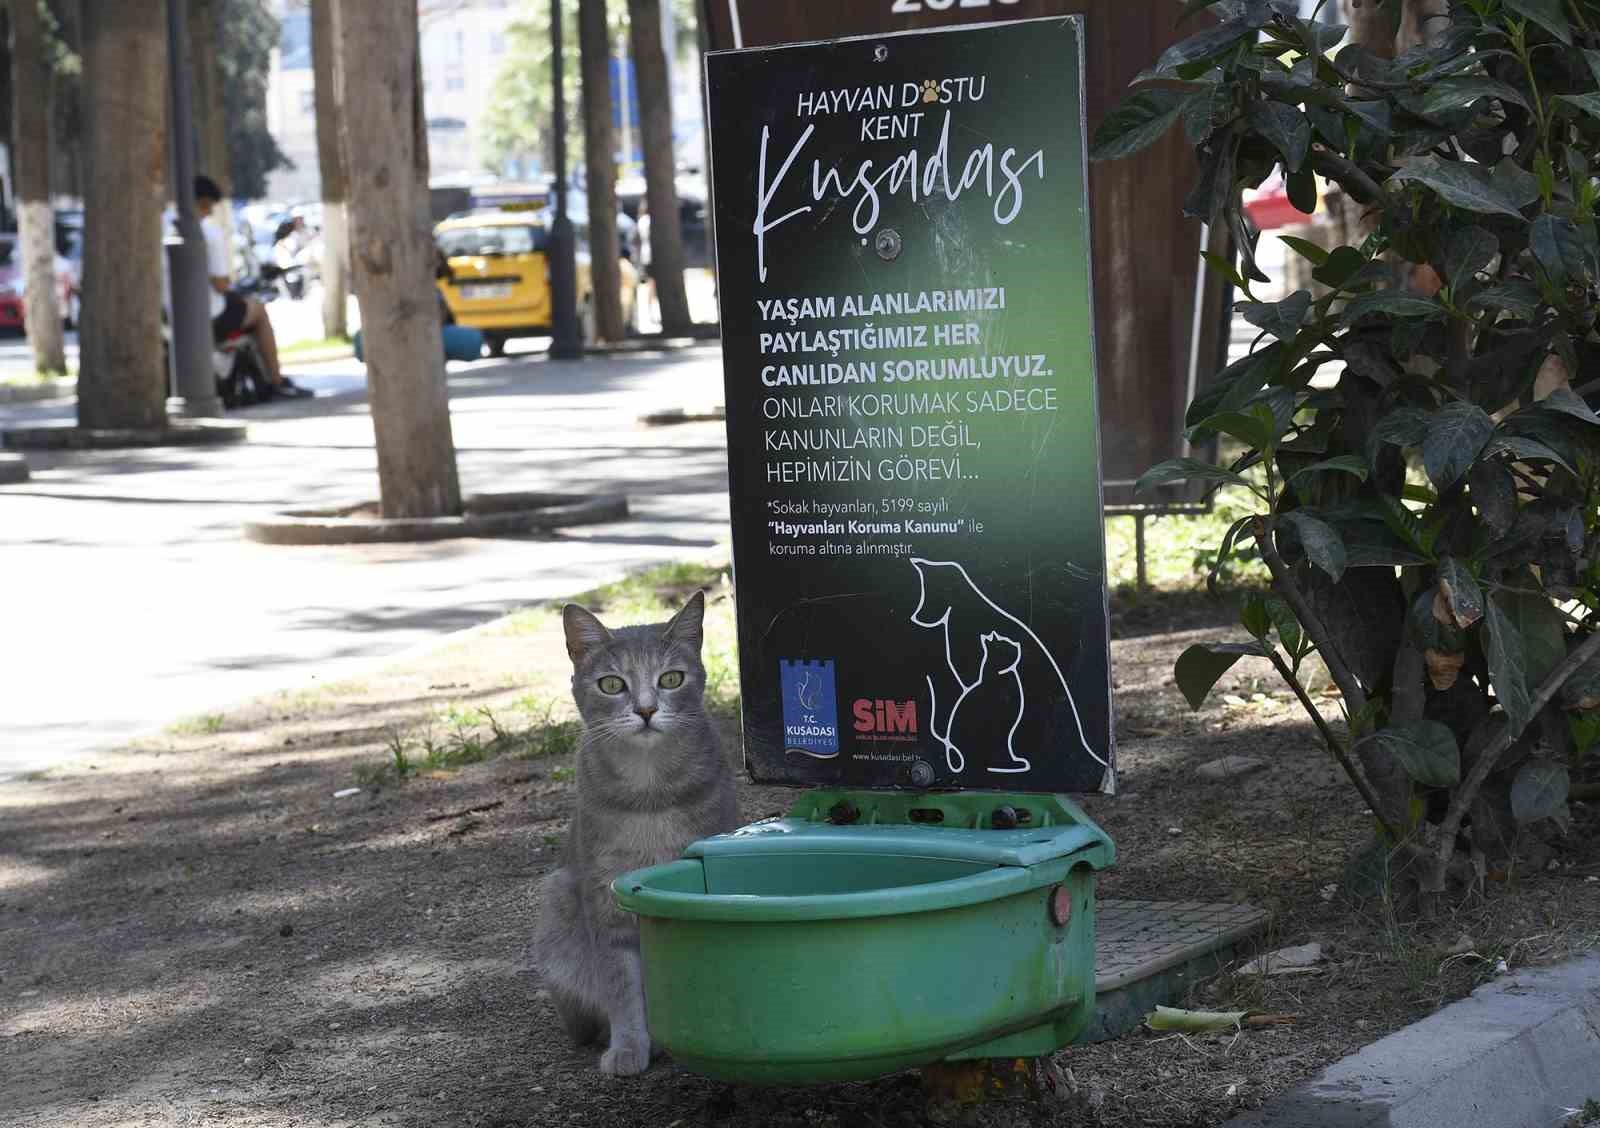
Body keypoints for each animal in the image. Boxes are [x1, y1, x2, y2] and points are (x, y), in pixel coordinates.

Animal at [534, 588, 739, 1075]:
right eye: (612, 685)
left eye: (671, 679)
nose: (645, 709)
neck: (651, 795)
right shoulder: (605, 898)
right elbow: (622, 986)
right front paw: (630, 1047)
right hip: (557, 902)